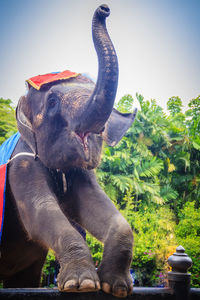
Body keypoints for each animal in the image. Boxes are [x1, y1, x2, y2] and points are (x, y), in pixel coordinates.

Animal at [0, 4, 136, 298]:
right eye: (52, 101)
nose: (105, 8)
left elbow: (94, 204)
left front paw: (116, 288)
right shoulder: (22, 162)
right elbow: (39, 210)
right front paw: (81, 285)